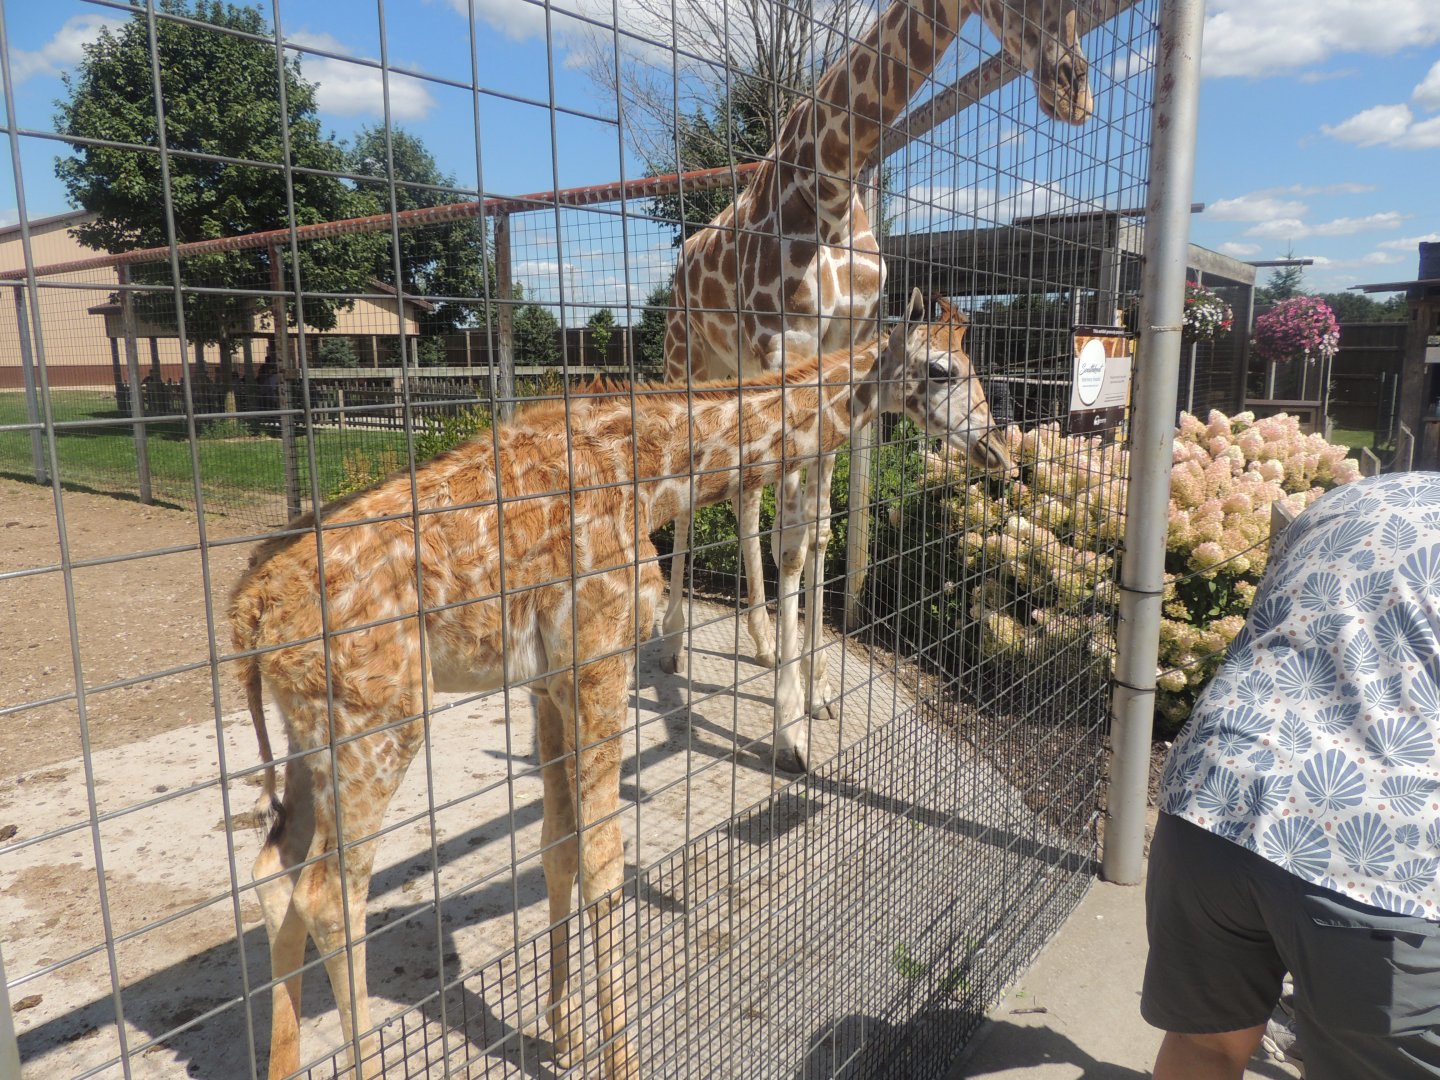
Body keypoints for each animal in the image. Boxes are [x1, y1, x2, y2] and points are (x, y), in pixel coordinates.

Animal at [229, 291, 1008, 1080]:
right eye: (942, 370)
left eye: (974, 362)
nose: (997, 449)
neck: (653, 474)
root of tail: (249, 615)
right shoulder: (602, 657)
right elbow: (605, 860)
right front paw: (617, 1058)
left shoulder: (547, 684)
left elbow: (559, 847)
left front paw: (563, 1031)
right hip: (377, 724)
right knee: (332, 898)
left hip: (308, 736)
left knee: (273, 876)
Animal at [660, 0, 1095, 771]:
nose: (1075, 94)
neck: (829, 186)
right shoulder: (789, 349)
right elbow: (793, 541)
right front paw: (791, 730)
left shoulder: (842, 354)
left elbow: (821, 532)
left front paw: (817, 688)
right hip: (688, 363)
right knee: (691, 498)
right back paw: (675, 647)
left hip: (736, 374)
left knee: (742, 498)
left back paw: (762, 642)